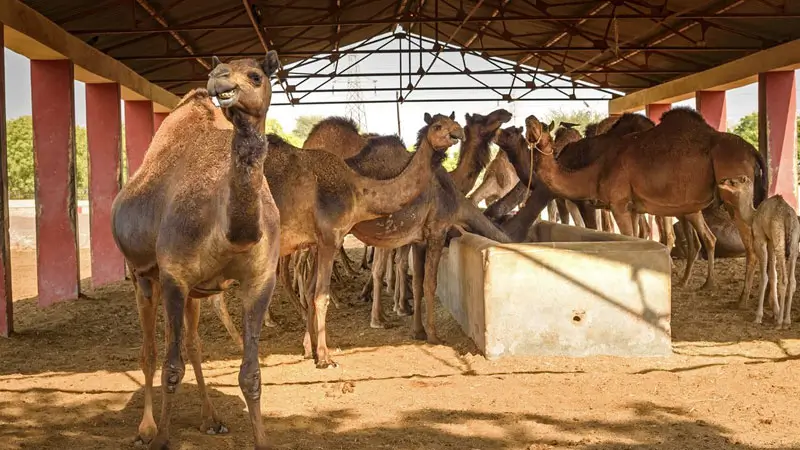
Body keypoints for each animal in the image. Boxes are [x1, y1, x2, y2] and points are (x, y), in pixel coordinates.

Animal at [111, 54, 281, 449]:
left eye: (256, 75)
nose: (219, 78)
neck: (229, 232)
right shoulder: (174, 273)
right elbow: (171, 368)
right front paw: (161, 439)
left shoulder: (261, 279)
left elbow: (250, 373)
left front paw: (261, 439)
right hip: (143, 275)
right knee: (150, 351)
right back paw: (146, 427)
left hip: (195, 293)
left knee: (193, 344)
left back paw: (211, 419)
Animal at [303, 116, 512, 341]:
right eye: (482, 119)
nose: (506, 115)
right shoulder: (437, 230)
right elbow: (428, 283)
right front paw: (432, 334)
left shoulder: (418, 239)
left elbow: (417, 281)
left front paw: (416, 328)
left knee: (310, 285)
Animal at [525, 107, 767, 297]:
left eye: (545, 131)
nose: (530, 118)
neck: (596, 169)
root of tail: (752, 150)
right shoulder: (633, 207)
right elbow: (637, 237)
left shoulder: (619, 204)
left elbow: (629, 237)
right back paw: (705, 284)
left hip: (734, 195)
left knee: (748, 241)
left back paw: (743, 297)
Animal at [719, 176, 799, 328]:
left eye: (733, 182)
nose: (721, 182)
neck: (753, 215)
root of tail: (788, 217)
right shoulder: (770, 241)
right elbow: (773, 275)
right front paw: (775, 313)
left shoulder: (760, 239)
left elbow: (764, 277)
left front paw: (759, 316)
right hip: (793, 244)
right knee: (792, 280)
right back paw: (787, 320)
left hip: (780, 241)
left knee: (784, 279)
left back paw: (780, 323)